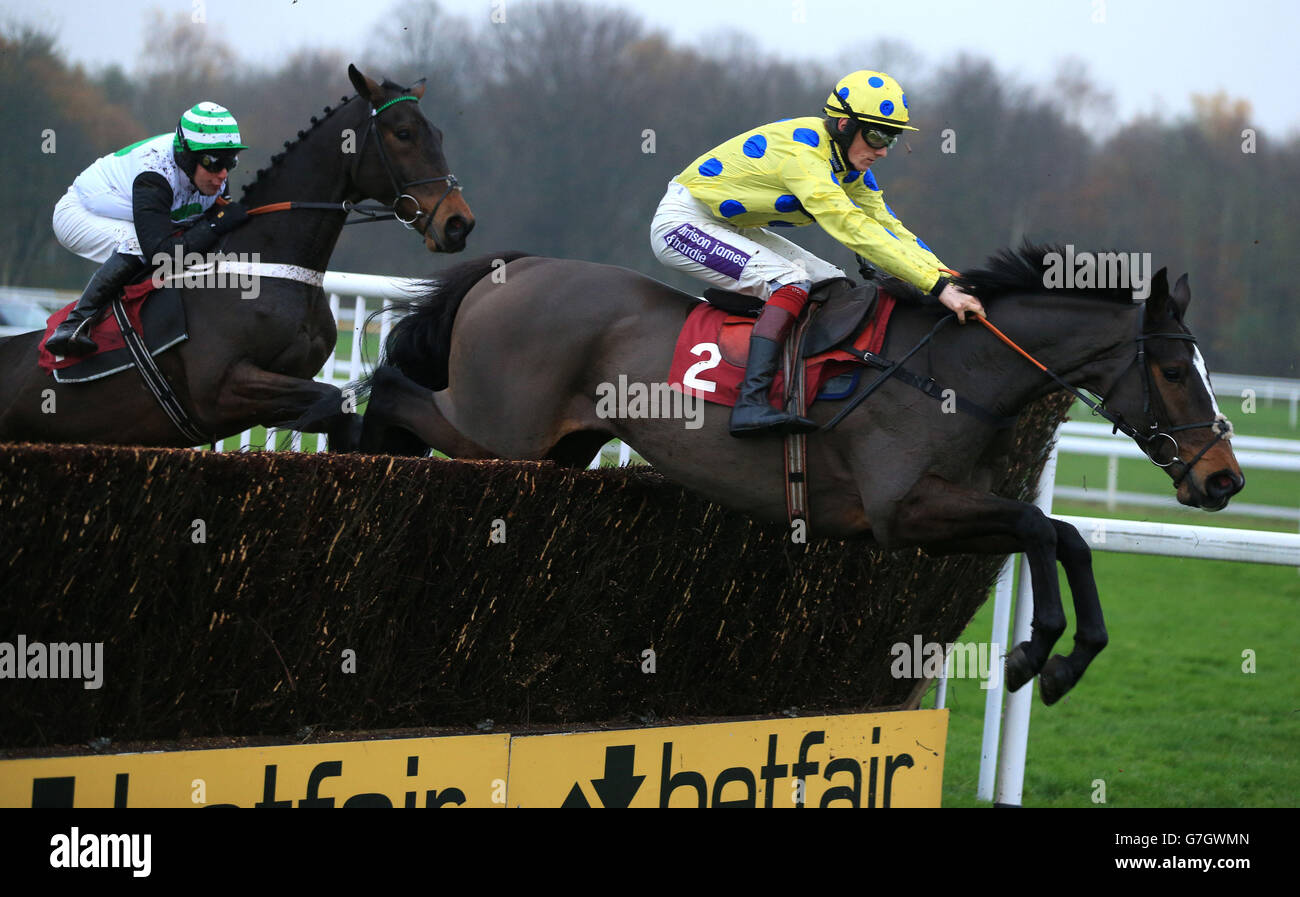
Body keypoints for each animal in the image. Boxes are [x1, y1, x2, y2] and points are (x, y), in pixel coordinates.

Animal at [0, 64, 475, 447]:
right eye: (404, 134)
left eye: (438, 134)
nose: (458, 223)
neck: (269, 266)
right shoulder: (220, 389)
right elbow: (333, 398)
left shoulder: (287, 379)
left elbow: (337, 413)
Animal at [358, 240, 1248, 702]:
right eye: (1175, 371)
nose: (1224, 479)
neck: (953, 369)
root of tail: (513, 269)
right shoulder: (903, 513)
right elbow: (1037, 524)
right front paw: (1036, 652)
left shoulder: (947, 508)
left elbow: (1066, 536)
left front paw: (1067, 657)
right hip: (494, 431)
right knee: (392, 386)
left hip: (555, 449)